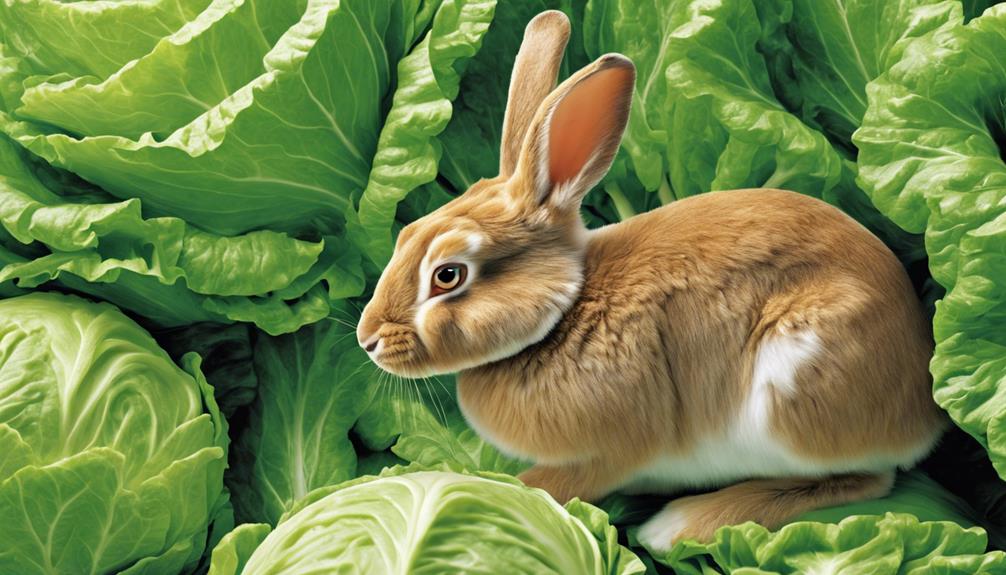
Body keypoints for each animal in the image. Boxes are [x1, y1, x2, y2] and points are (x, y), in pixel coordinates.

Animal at [356, 10, 947, 551]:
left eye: (448, 275)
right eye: (405, 232)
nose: (367, 341)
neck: (564, 311)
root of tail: (923, 412)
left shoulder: (607, 451)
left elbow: (551, 485)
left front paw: (491, 485)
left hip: (795, 387)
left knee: (864, 480)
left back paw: (678, 525)